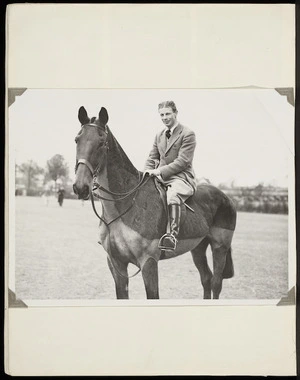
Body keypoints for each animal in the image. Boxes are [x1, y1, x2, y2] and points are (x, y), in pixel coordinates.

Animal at [72, 106, 237, 300]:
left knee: (216, 283)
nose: (80, 187)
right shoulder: (116, 263)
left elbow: (153, 295)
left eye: (101, 142)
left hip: (220, 247)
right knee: (206, 279)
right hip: (198, 248)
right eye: (77, 139)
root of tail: (226, 197)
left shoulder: (148, 262)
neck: (124, 206)